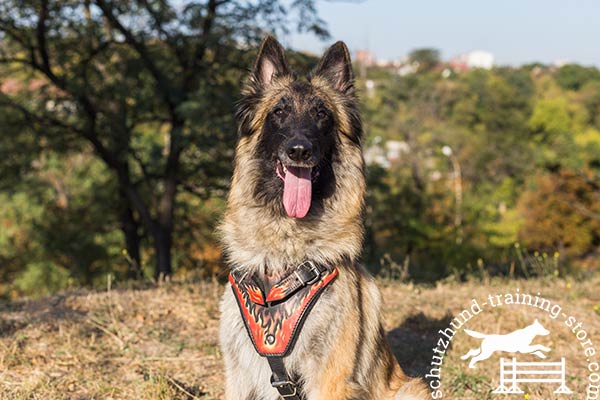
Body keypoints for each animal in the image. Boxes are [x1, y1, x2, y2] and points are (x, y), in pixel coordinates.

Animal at [218, 36, 428, 398]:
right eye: (279, 112)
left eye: (321, 114)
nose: (299, 151)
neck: (285, 254)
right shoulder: (240, 378)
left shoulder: (330, 379)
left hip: (411, 389)